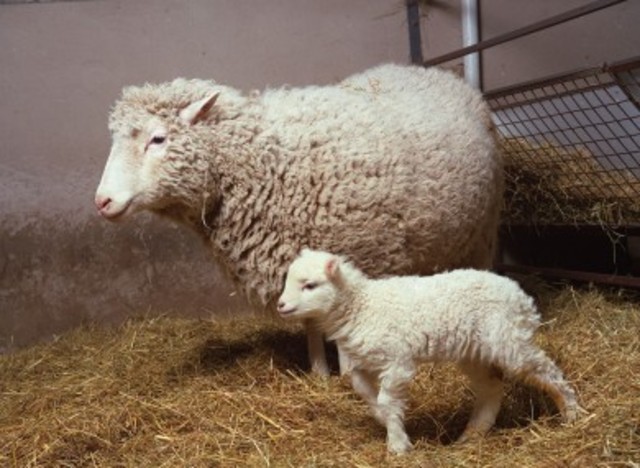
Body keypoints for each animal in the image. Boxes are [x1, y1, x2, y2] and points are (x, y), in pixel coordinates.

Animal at [94, 63, 503, 376]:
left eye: (158, 139)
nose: (102, 201)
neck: (263, 161)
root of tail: (438, 73)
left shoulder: (356, 252)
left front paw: (349, 373)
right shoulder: (297, 257)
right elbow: (309, 320)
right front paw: (319, 373)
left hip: (483, 229)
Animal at [278, 249, 579, 454]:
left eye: (310, 285)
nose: (281, 305)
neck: (362, 306)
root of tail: (520, 295)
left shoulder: (398, 361)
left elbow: (387, 399)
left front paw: (398, 444)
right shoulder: (368, 362)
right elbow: (365, 391)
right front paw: (384, 420)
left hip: (509, 340)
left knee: (547, 371)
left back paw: (573, 413)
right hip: (474, 352)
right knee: (491, 388)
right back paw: (471, 435)